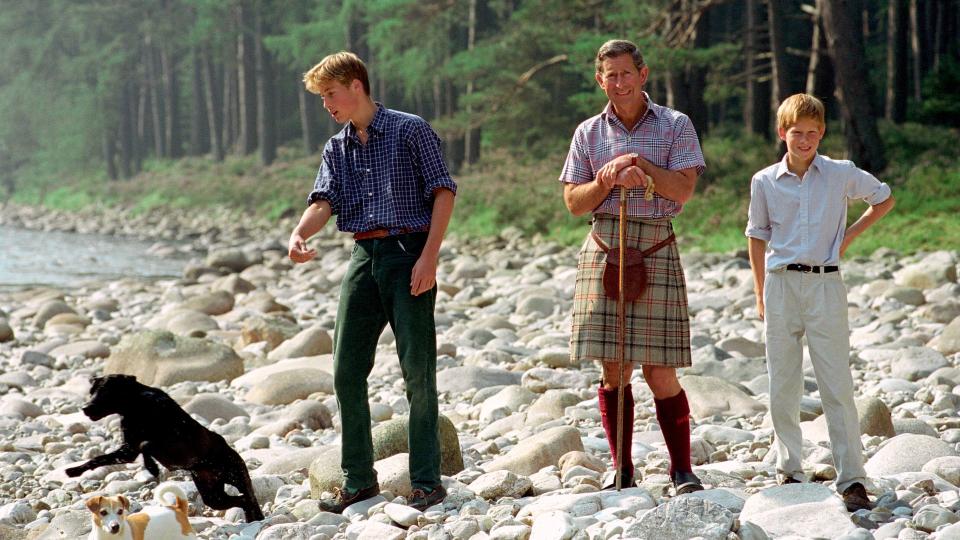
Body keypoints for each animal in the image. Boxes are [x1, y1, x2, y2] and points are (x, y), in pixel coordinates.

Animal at [66, 374, 264, 520]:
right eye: (91, 392)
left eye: (105, 392)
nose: (85, 408)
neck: (137, 404)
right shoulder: (128, 450)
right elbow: (98, 459)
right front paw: (75, 470)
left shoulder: (165, 444)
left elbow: (146, 444)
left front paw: (152, 467)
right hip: (213, 496)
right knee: (241, 500)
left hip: (236, 476)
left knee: (248, 497)